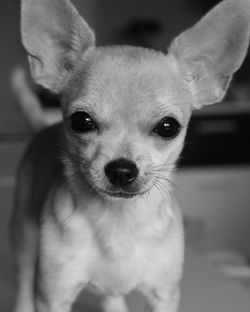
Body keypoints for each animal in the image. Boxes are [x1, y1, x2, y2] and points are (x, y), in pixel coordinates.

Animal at [11, 0, 250, 312]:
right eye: (81, 121)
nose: (122, 170)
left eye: (168, 127)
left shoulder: (163, 295)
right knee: (23, 281)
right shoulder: (54, 296)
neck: (118, 222)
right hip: (24, 237)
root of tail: (43, 127)